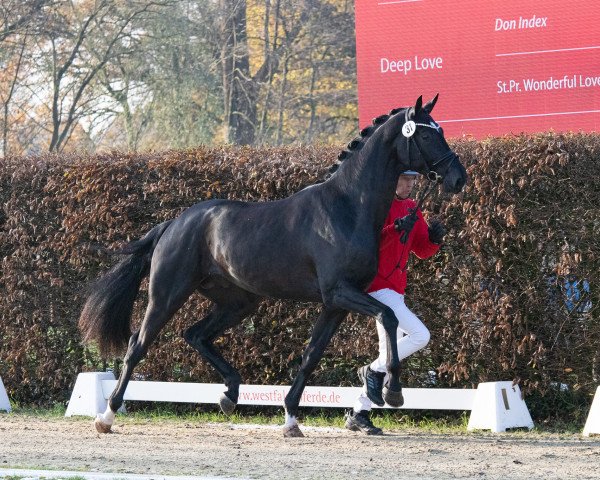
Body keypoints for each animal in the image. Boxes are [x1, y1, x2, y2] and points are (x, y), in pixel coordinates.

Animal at [79, 94, 466, 436]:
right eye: (427, 134)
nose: (458, 178)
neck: (347, 207)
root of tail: (174, 223)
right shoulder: (340, 292)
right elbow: (387, 317)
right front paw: (391, 391)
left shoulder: (336, 303)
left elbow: (311, 355)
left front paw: (292, 418)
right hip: (167, 295)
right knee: (137, 346)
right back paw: (107, 416)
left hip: (239, 301)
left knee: (196, 334)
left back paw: (230, 394)